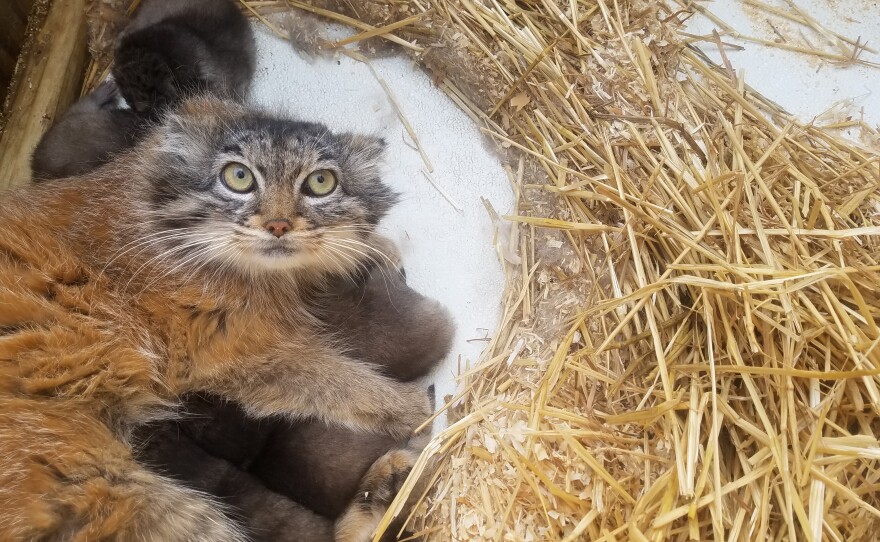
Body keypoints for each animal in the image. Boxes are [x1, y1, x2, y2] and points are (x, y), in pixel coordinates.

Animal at [0, 99, 430, 542]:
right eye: (238, 177)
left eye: (321, 182)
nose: (278, 225)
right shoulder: (236, 348)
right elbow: (336, 379)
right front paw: (412, 407)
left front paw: (372, 248)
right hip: (108, 489)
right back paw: (382, 493)